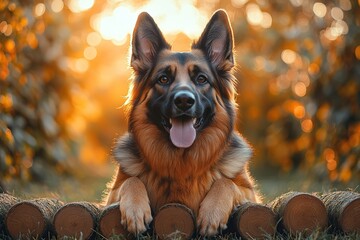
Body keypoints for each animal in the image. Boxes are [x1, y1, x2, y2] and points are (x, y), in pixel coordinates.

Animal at [105, 9, 260, 236]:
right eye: (163, 79)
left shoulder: (250, 195)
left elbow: (225, 182)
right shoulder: (111, 196)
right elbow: (132, 180)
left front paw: (211, 214)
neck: (182, 163)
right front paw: (136, 210)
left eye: (202, 79)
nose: (184, 101)